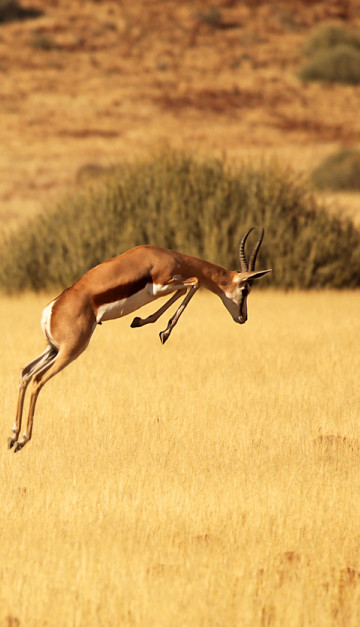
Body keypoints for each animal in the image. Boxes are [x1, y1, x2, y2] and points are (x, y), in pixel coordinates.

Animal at [7, 226, 270, 452]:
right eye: (245, 289)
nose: (243, 317)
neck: (168, 256)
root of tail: (51, 310)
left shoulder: (166, 286)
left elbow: (185, 289)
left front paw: (143, 322)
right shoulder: (162, 284)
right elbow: (193, 284)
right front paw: (162, 330)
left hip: (54, 349)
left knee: (26, 373)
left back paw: (12, 436)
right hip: (71, 351)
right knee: (38, 379)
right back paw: (22, 440)